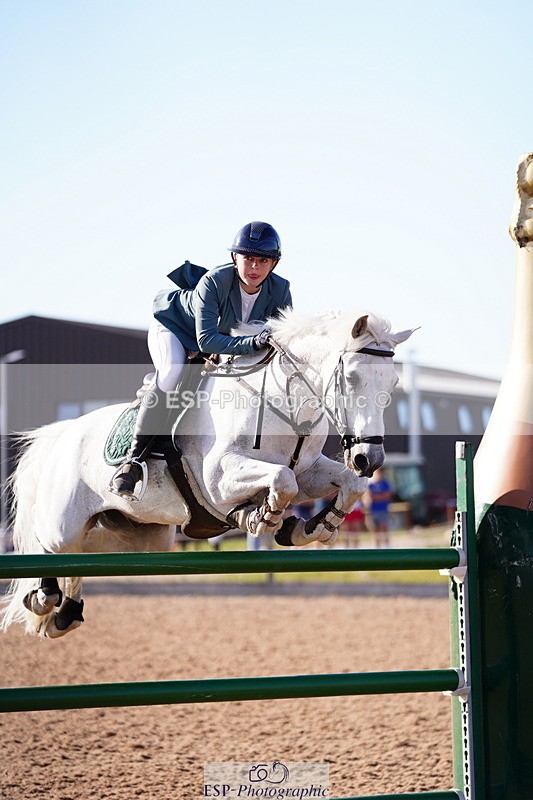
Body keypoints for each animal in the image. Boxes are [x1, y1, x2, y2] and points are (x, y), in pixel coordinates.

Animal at [0, 309, 415, 638]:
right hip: (63, 521)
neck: (284, 402)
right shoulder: (219, 476)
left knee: (80, 556)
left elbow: (345, 484)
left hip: (141, 536)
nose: (369, 458)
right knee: (50, 546)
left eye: (393, 384)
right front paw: (258, 517)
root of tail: (62, 433)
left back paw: (64, 615)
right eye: (353, 378)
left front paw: (313, 526)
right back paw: (42, 598)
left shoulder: (310, 469)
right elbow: (282, 479)